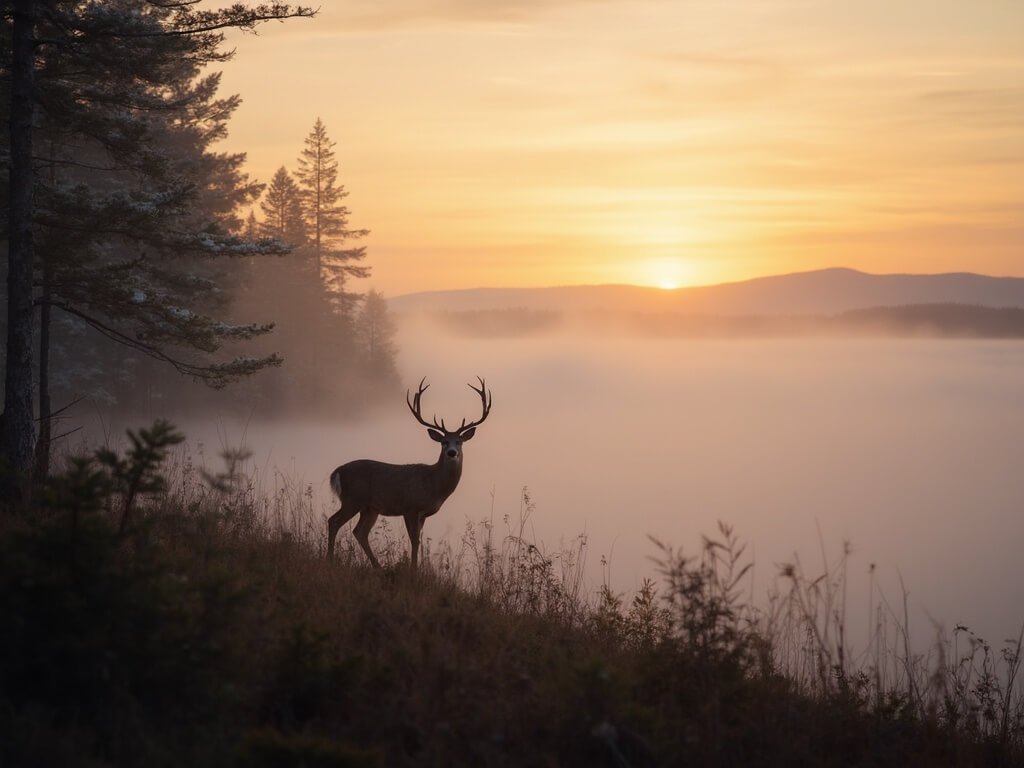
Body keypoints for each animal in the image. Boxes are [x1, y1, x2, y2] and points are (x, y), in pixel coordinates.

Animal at [327, 377, 492, 569]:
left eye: (460, 441)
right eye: (443, 442)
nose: (452, 453)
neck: (433, 484)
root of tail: (337, 471)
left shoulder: (423, 514)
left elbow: (417, 540)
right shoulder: (410, 507)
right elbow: (414, 541)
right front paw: (413, 569)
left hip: (369, 507)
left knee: (359, 532)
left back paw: (378, 567)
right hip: (353, 499)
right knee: (334, 522)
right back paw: (329, 560)